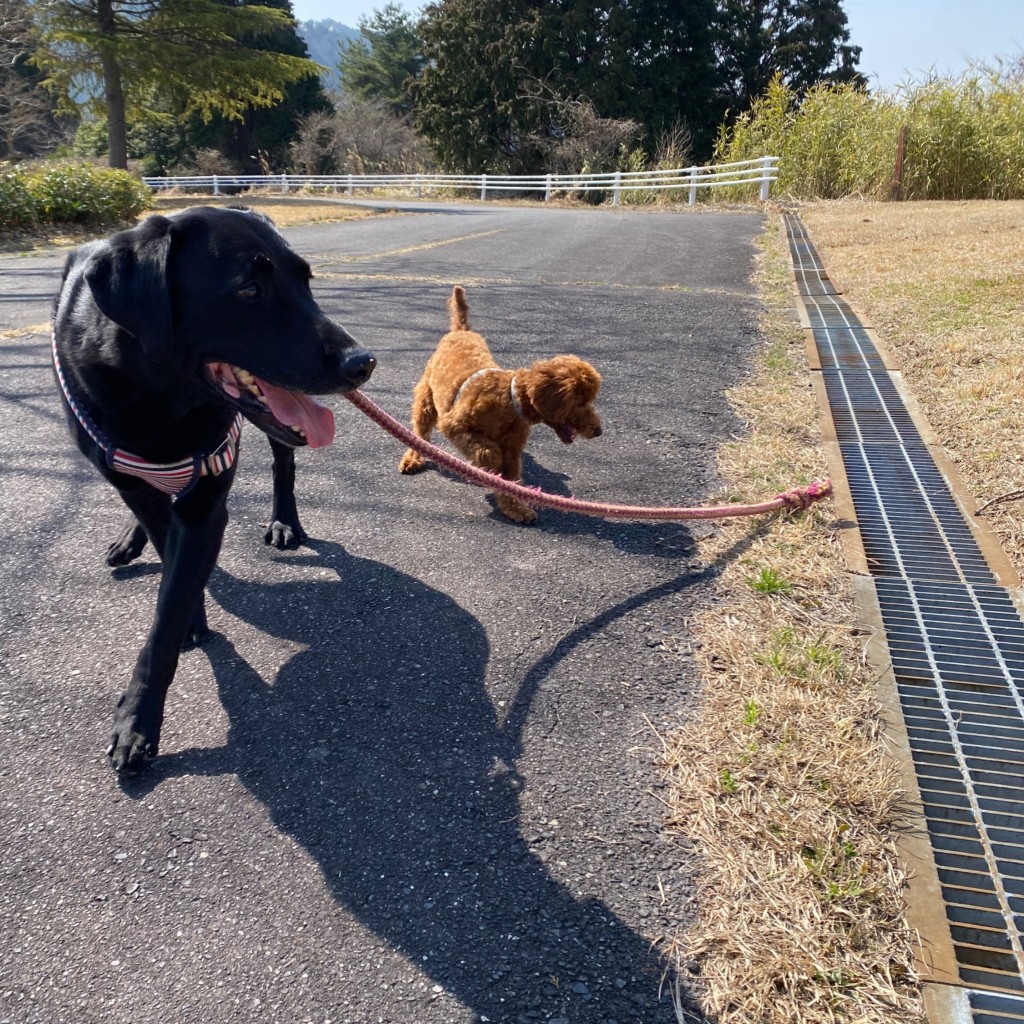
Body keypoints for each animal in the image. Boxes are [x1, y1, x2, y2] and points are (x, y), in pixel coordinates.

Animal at [52, 203, 376, 770]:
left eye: (305, 280)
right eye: (249, 289)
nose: (363, 363)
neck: (159, 397)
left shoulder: (206, 503)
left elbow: (168, 608)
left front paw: (138, 720)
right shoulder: (140, 484)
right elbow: (169, 566)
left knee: (283, 466)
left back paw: (284, 522)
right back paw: (130, 541)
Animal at [399, 282, 602, 520]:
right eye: (580, 402)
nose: (598, 431)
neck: (510, 400)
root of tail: (461, 330)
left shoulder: (512, 451)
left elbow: (509, 480)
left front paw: (515, 508)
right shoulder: (455, 425)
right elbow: (489, 452)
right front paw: (488, 470)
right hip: (426, 398)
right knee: (420, 433)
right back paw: (413, 458)